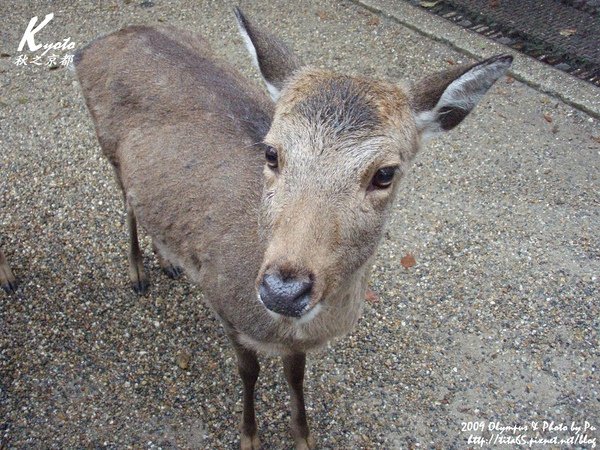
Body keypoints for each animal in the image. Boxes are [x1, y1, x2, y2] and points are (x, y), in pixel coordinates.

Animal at [75, 7, 510, 450]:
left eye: (385, 173)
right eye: (271, 152)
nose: (283, 289)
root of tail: (90, 47)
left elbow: (296, 376)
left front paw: (303, 436)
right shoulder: (222, 300)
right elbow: (248, 371)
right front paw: (249, 436)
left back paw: (168, 261)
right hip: (108, 147)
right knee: (127, 202)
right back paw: (137, 272)